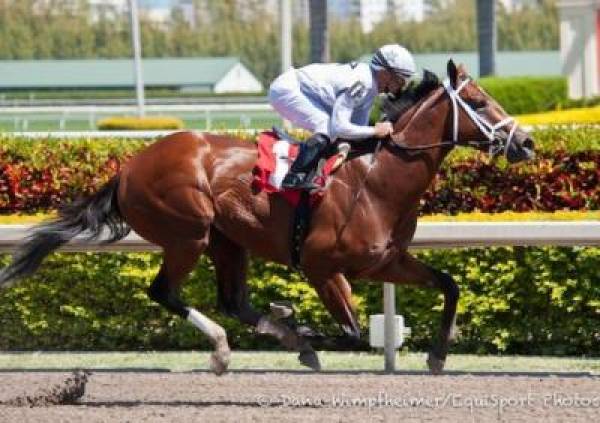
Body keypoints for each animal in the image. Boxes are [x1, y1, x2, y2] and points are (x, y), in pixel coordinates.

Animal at [0, 61, 536, 376]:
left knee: (232, 299)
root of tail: (129, 166)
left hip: (226, 240)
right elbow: (351, 333)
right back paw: (224, 348)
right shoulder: (321, 266)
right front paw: (298, 332)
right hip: (188, 233)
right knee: (166, 292)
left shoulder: (385, 262)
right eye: (481, 102)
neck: (377, 179)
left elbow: (449, 285)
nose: (527, 141)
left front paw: (438, 353)